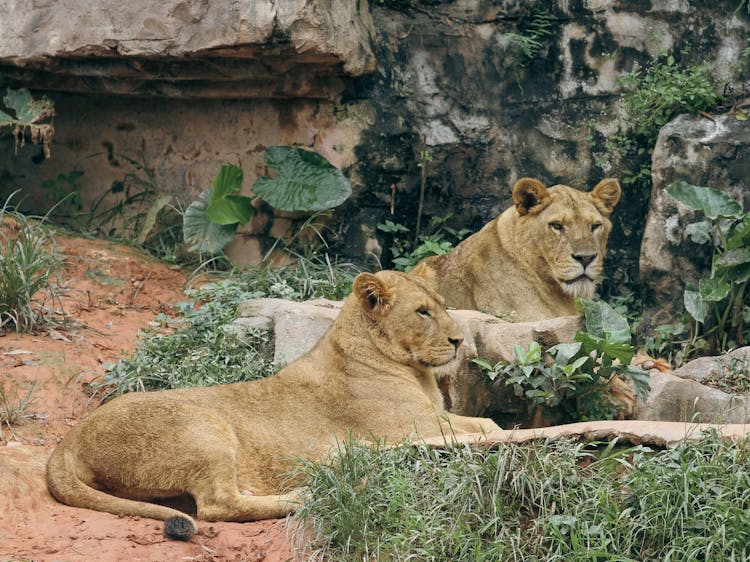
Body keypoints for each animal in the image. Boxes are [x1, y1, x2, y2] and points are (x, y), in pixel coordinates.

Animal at [45, 270, 500, 540]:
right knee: (217, 505)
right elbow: (486, 426)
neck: (415, 371)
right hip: (203, 426)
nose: (459, 339)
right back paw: (308, 494)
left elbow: (485, 423)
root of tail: (68, 441)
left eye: (442, 305)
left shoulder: (434, 417)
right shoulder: (416, 426)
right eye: (423, 312)